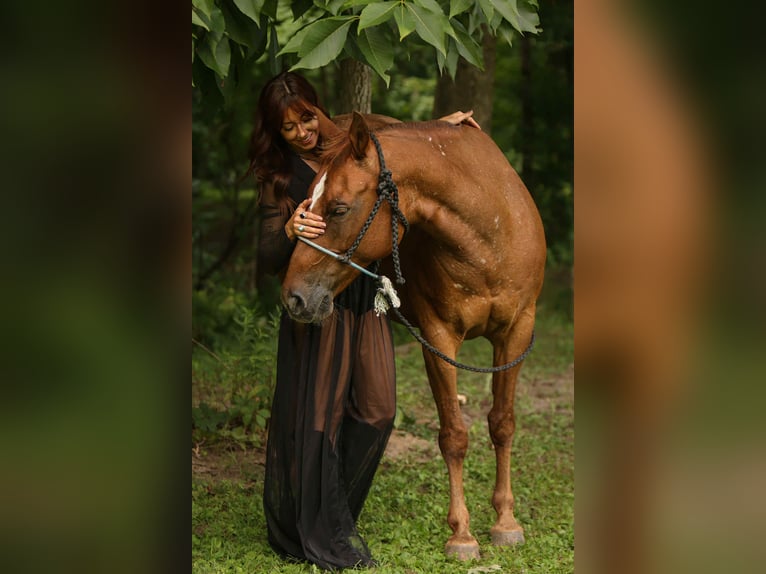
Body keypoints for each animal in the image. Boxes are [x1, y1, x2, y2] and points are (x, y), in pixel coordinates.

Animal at [281, 111, 547, 560]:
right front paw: (462, 534)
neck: (490, 234)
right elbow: (454, 436)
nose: (293, 297)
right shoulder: (439, 339)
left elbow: (503, 423)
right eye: (305, 206)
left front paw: (506, 522)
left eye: (338, 208)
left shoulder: (516, 333)